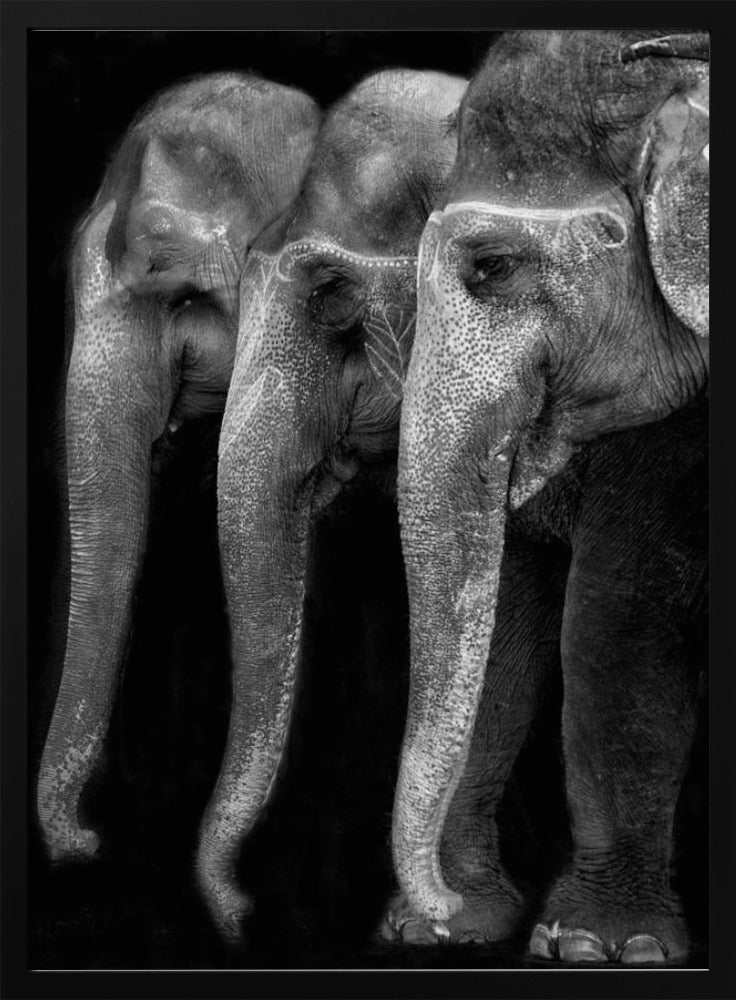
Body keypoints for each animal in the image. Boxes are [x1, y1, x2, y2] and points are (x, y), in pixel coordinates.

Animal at [389, 30, 708, 963]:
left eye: (491, 267)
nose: (435, 907)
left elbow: (618, 615)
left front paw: (603, 946)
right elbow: (522, 607)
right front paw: (459, 930)